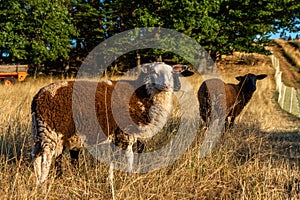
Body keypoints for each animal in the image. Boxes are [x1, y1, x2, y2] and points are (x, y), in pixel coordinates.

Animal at [31, 62, 193, 184]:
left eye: (171, 73)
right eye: (154, 72)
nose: (166, 85)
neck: (141, 95)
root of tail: (39, 95)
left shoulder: (117, 135)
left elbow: (114, 159)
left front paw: (111, 178)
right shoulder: (126, 133)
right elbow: (129, 157)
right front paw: (128, 177)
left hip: (39, 131)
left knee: (36, 157)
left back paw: (37, 182)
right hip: (50, 131)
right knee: (45, 159)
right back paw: (43, 184)